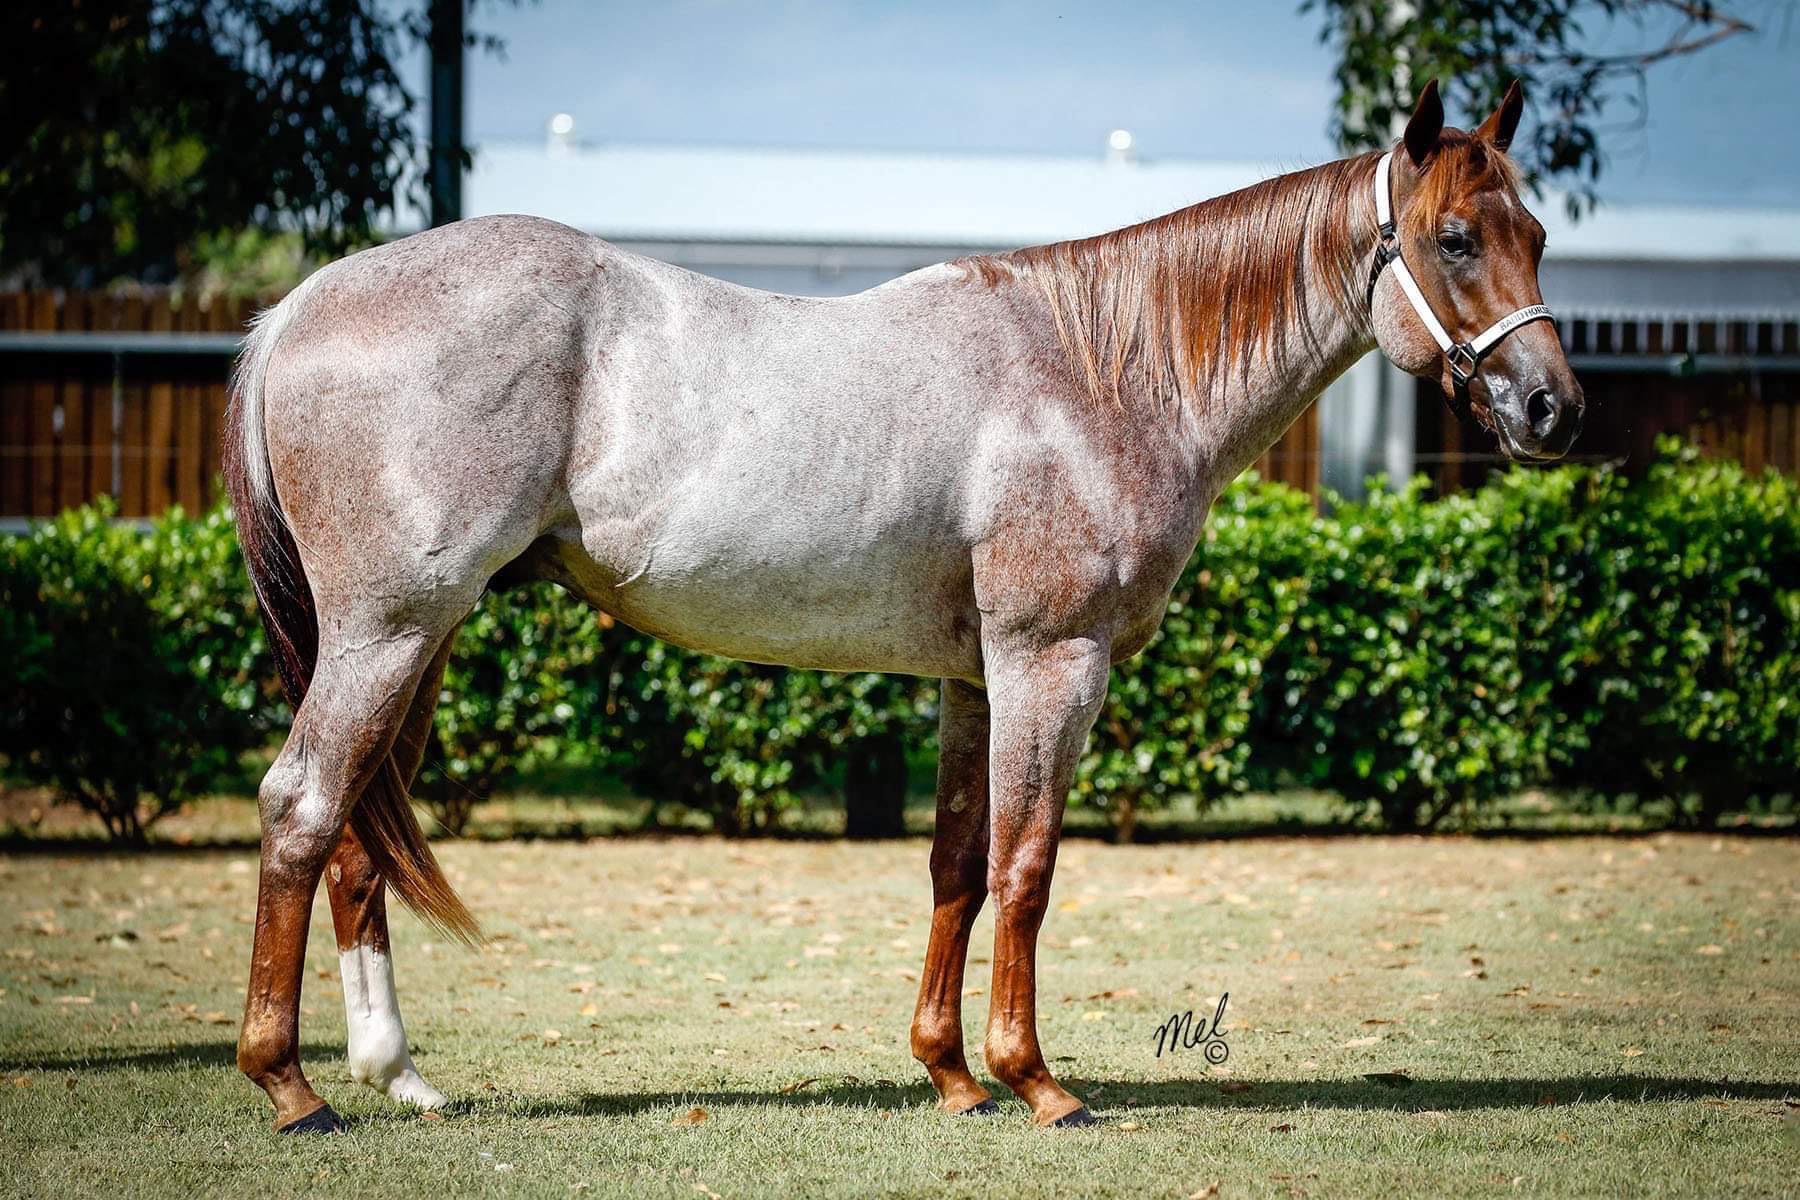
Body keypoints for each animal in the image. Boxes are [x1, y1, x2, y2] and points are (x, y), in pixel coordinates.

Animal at [223, 79, 1582, 1134]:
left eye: (1537, 231)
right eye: (1455, 238)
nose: (1552, 410)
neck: (1099, 370)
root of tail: (300, 308)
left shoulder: (974, 679)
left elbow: (956, 867)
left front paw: (952, 1076)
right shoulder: (1051, 663)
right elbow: (1028, 866)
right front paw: (1039, 1085)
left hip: (418, 639)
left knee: (357, 835)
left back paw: (398, 1075)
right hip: (388, 632)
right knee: (301, 807)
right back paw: (292, 1087)